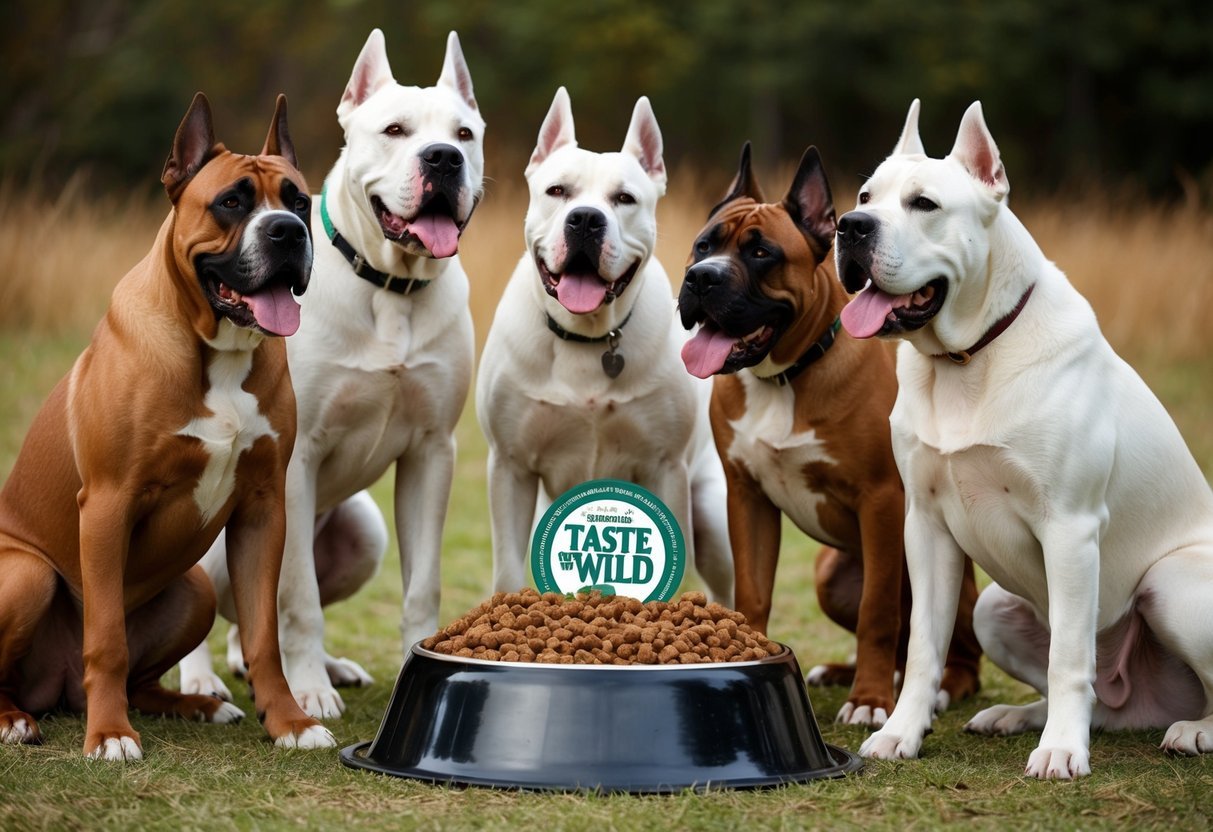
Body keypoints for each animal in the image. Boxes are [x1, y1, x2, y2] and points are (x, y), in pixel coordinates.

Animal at [0, 94, 334, 761]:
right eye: (231, 202)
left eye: (299, 201)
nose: (287, 231)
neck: (218, 352)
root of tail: (54, 688)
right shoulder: (108, 504)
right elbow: (106, 638)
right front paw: (109, 735)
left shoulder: (263, 510)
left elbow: (263, 637)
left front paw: (288, 721)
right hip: (25, 573)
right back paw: (17, 718)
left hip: (194, 590)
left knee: (138, 679)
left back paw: (197, 705)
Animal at [179, 26, 482, 717]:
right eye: (395, 130)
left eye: (465, 134)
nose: (443, 159)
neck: (391, 284)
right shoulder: (295, 460)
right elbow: (298, 599)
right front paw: (309, 692)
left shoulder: (432, 453)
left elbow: (421, 588)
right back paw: (206, 678)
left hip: (363, 531)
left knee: (248, 618)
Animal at [679, 144, 980, 727]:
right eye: (703, 245)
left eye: (762, 253)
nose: (701, 277)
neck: (783, 377)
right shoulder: (747, 499)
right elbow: (753, 592)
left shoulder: (882, 501)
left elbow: (877, 612)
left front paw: (869, 701)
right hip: (828, 575)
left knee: (953, 650)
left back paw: (934, 688)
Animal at [839, 99, 1213, 781]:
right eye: (865, 196)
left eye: (924, 204)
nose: (850, 228)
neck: (965, 360)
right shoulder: (925, 526)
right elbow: (926, 647)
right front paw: (902, 732)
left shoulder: (1068, 526)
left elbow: (1068, 657)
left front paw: (1062, 751)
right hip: (991, 609)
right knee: (1100, 701)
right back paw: (1014, 716)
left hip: (1172, 585)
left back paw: (1188, 730)